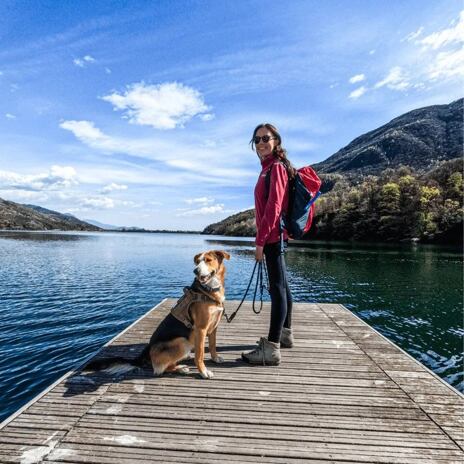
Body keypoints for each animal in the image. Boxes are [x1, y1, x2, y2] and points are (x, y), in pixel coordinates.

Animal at [84, 250, 230, 380]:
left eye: (208, 260)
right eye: (197, 262)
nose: (196, 271)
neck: (209, 290)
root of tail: (147, 352)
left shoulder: (214, 327)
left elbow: (212, 345)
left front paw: (215, 358)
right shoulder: (201, 329)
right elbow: (200, 354)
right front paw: (203, 372)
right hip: (182, 342)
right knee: (160, 369)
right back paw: (181, 368)